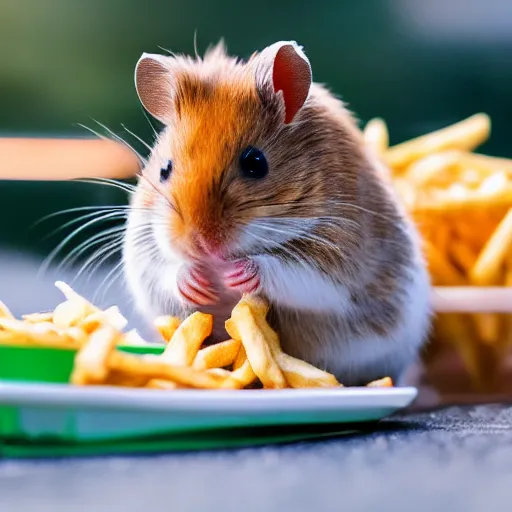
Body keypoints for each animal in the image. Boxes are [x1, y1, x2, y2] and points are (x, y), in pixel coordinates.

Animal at [124, 39, 432, 384]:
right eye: (164, 170)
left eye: (256, 163)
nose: (202, 247)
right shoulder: (144, 250)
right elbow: (166, 269)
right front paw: (196, 280)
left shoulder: (337, 257)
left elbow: (289, 272)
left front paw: (238, 273)